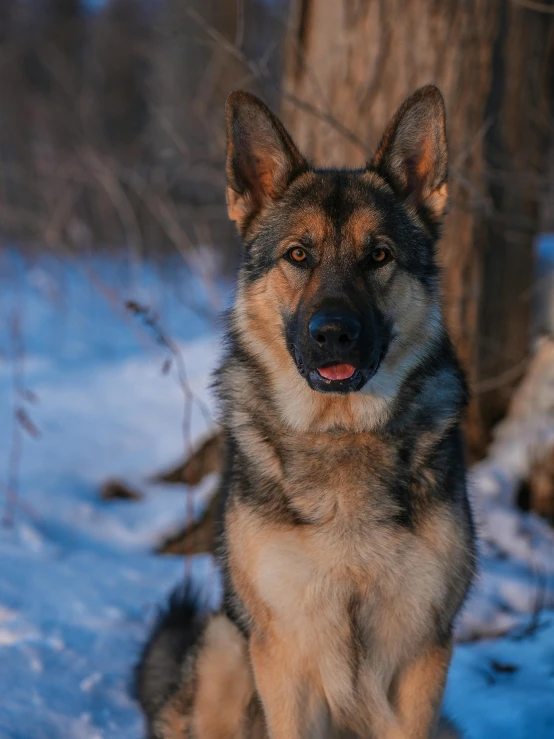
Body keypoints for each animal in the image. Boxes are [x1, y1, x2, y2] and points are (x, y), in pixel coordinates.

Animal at [137, 85, 474, 739]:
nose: (333, 334)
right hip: (224, 644)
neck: (340, 433)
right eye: (299, 254)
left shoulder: (423, 656)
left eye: (378, 256)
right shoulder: (284, 655)